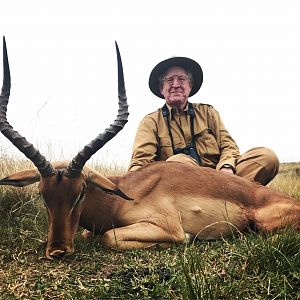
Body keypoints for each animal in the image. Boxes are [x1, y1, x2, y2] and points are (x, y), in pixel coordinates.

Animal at [0, 37, 300, 258]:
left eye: (80, 193)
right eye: (43, 195)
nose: (58, 251)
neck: (121, 197)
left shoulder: (163, 227)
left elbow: (109, 237)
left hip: (261, 224)